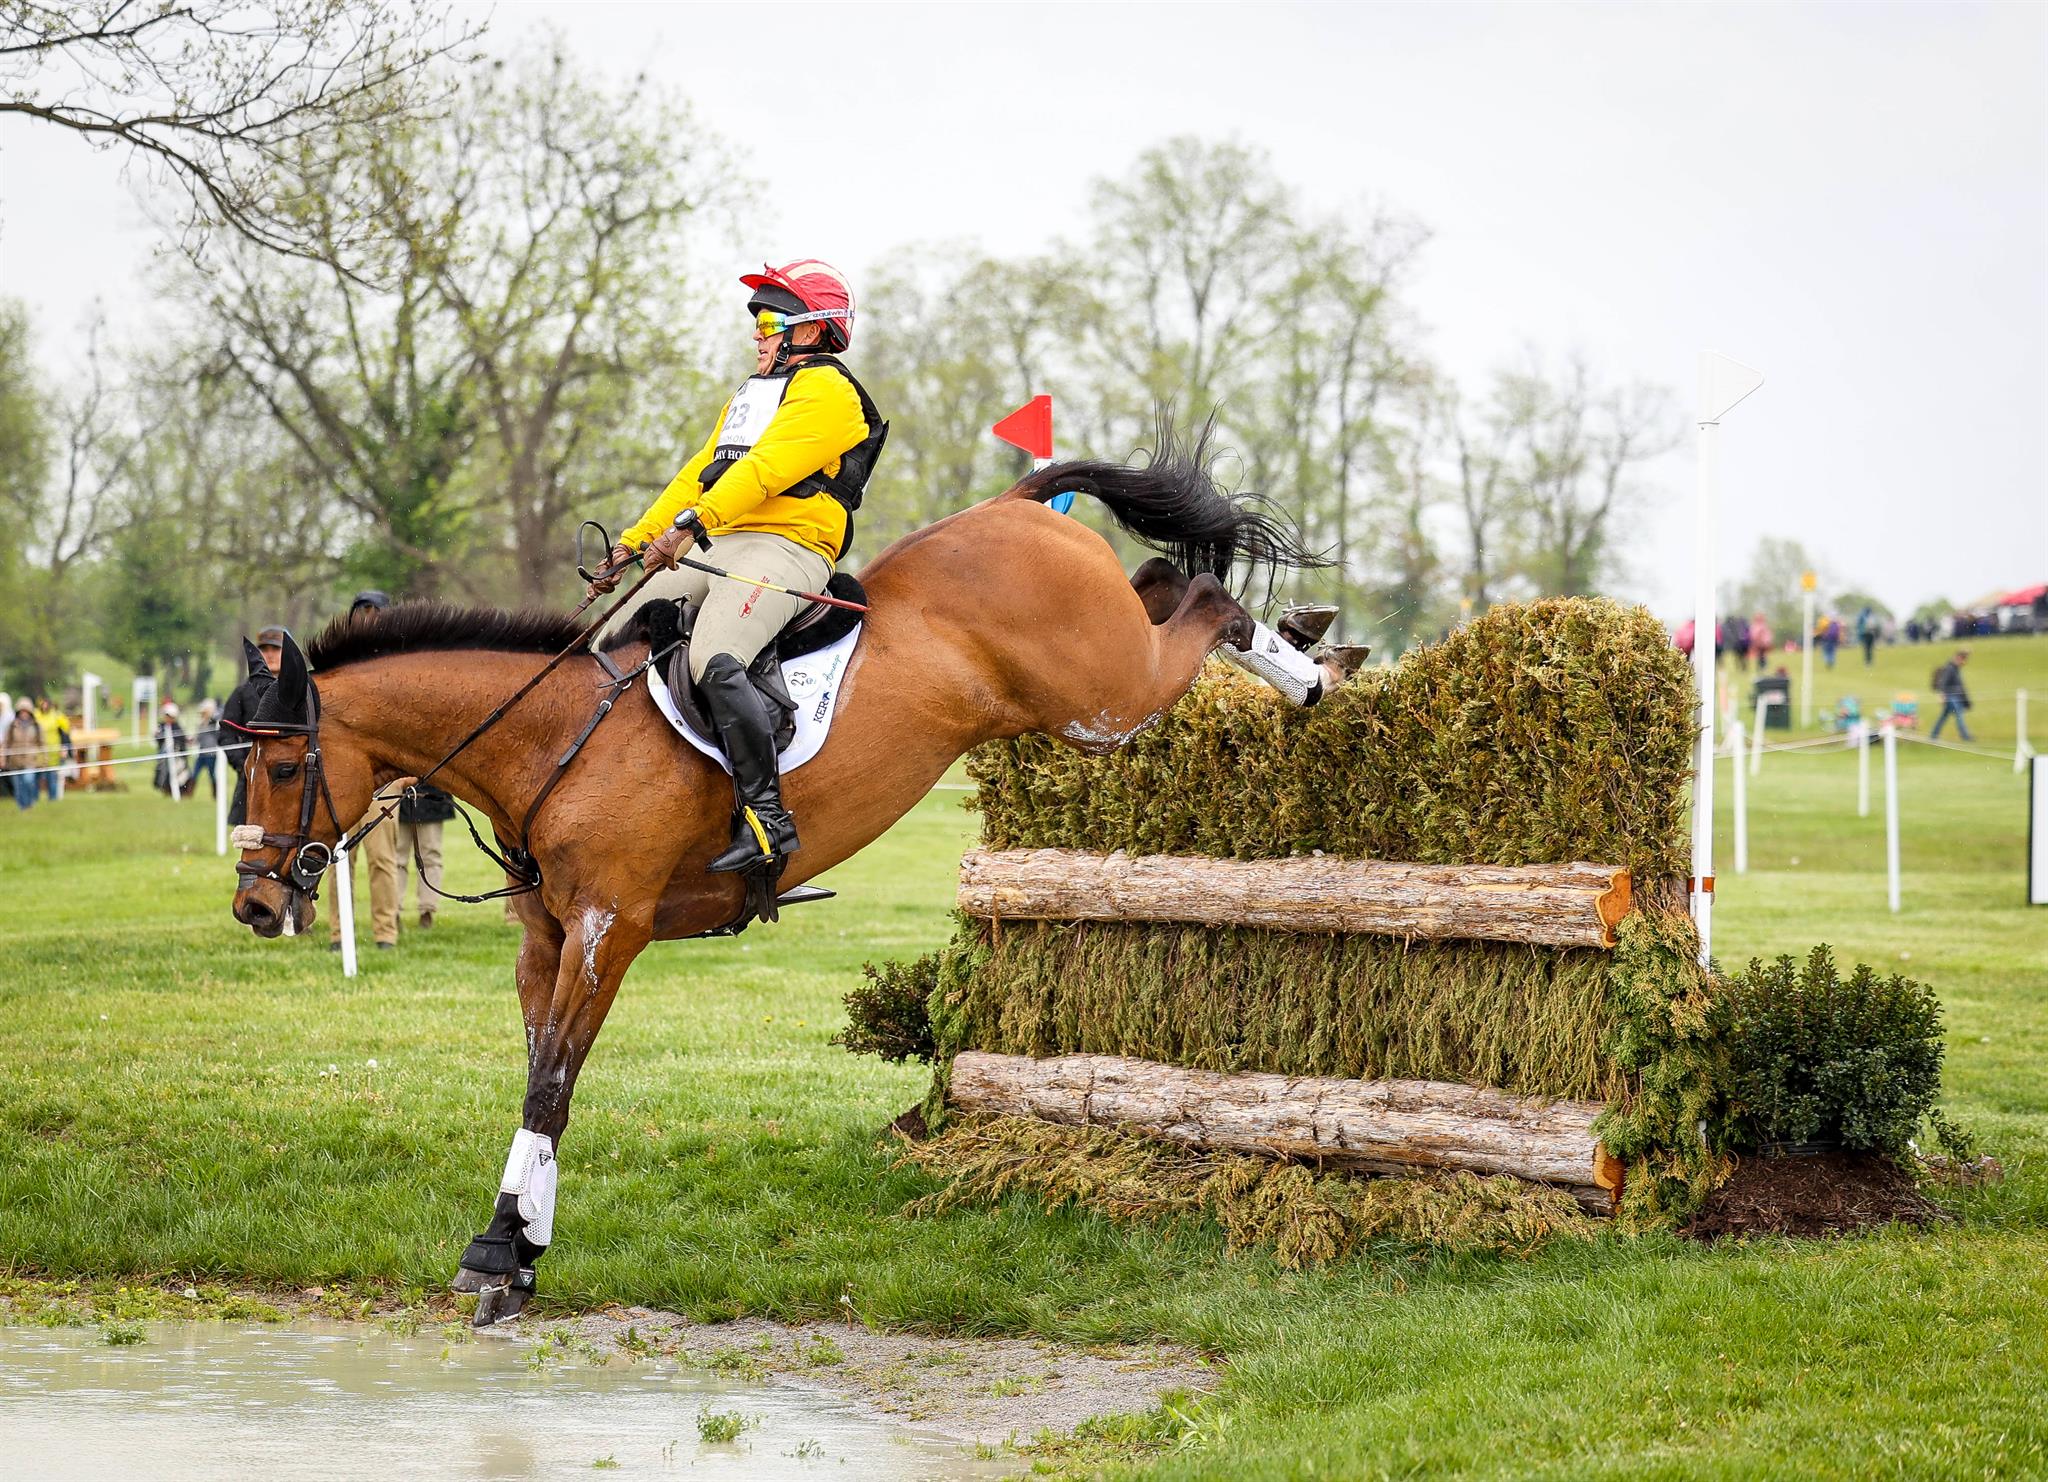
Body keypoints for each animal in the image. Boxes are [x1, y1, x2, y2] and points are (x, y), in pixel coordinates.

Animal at [224, 438, 1310, 1318]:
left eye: (279, 766)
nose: (255, 903)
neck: (551, 740)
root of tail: (1014, 505)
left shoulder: (607, 931)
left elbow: (550, 1086)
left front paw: (497, 1254)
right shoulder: (547, 940)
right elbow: (543, 1082)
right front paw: (522, 1253)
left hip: (1102, 699)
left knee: (1203, 603)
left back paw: (1310, 675)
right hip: (1094, 681)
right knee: (1163, 580)